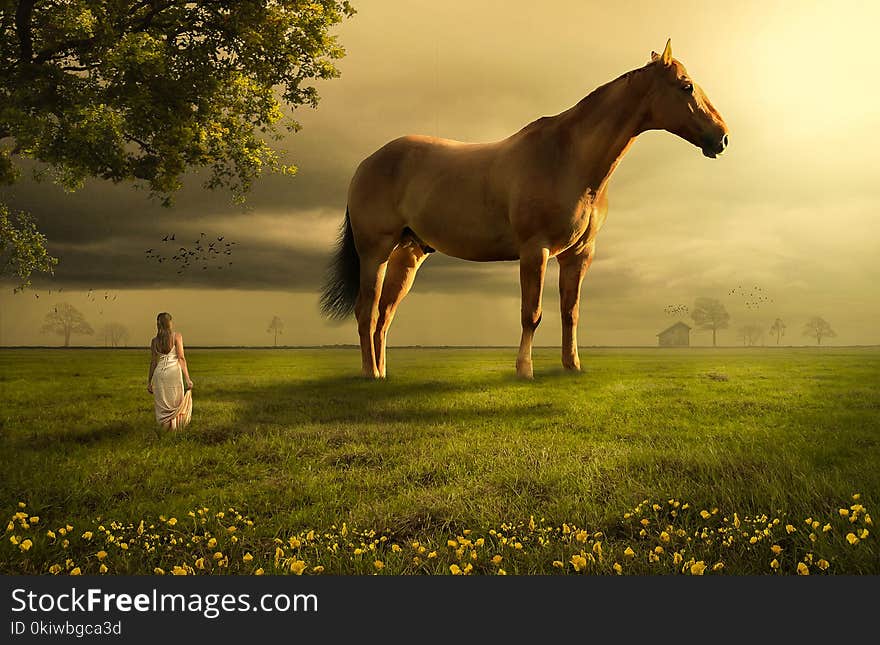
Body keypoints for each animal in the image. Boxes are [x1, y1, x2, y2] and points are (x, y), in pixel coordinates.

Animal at [320, 40, 724, 378]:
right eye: (686, 86)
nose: (721, 137)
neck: (568, 158)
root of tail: (368, 162)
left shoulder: (579, 255)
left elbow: (570, 312)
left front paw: (572, 367)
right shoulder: (535, 250)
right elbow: (532, 313)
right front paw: (524, 370)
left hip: (408, 255)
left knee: (385, 316)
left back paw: (381, 373)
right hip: (375, 253)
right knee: (366, 312)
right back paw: (369, 374)